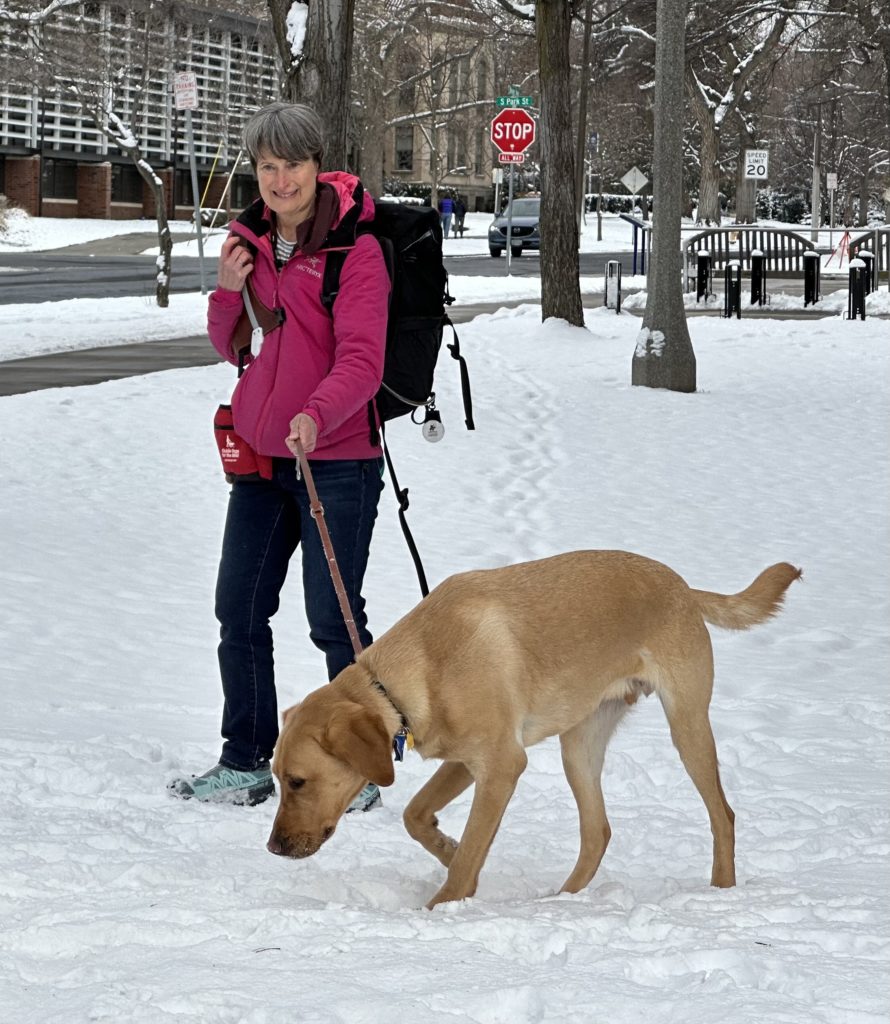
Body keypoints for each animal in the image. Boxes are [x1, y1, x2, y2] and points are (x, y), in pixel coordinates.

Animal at [264, 548, 798, 909]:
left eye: (298, 781)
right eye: (277, 780)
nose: (273, 848)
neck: (415, 672)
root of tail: (682, 586)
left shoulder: (502, 764)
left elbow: (469, 852)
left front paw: (444, 903)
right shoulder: (466, 760)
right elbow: (416, 815)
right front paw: (446, 847)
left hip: (686, 724)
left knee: (722, 815)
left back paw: (721, 893)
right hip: (580, 742)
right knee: (597, 831)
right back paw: (562, 902)